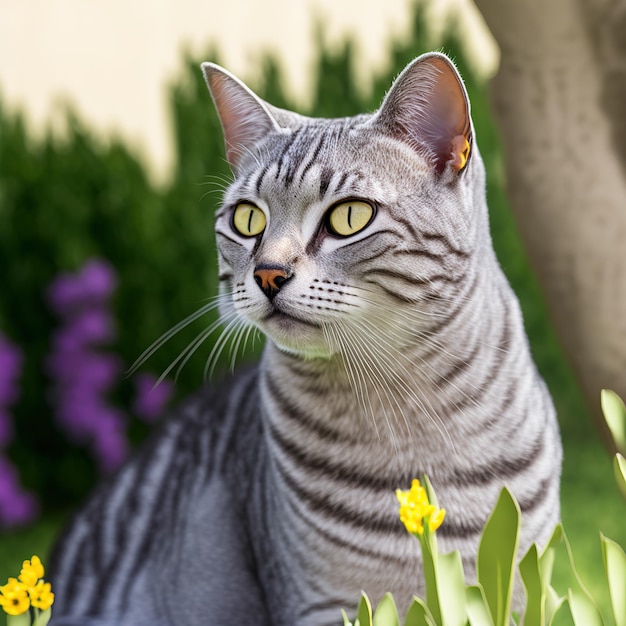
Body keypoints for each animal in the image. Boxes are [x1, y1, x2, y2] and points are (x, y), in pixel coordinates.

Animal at [46, 51, 560, 620]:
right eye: (248, 219)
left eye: (350, 216)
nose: (268, 273)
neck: (409, 409)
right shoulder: (326, 602)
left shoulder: (518, 589)